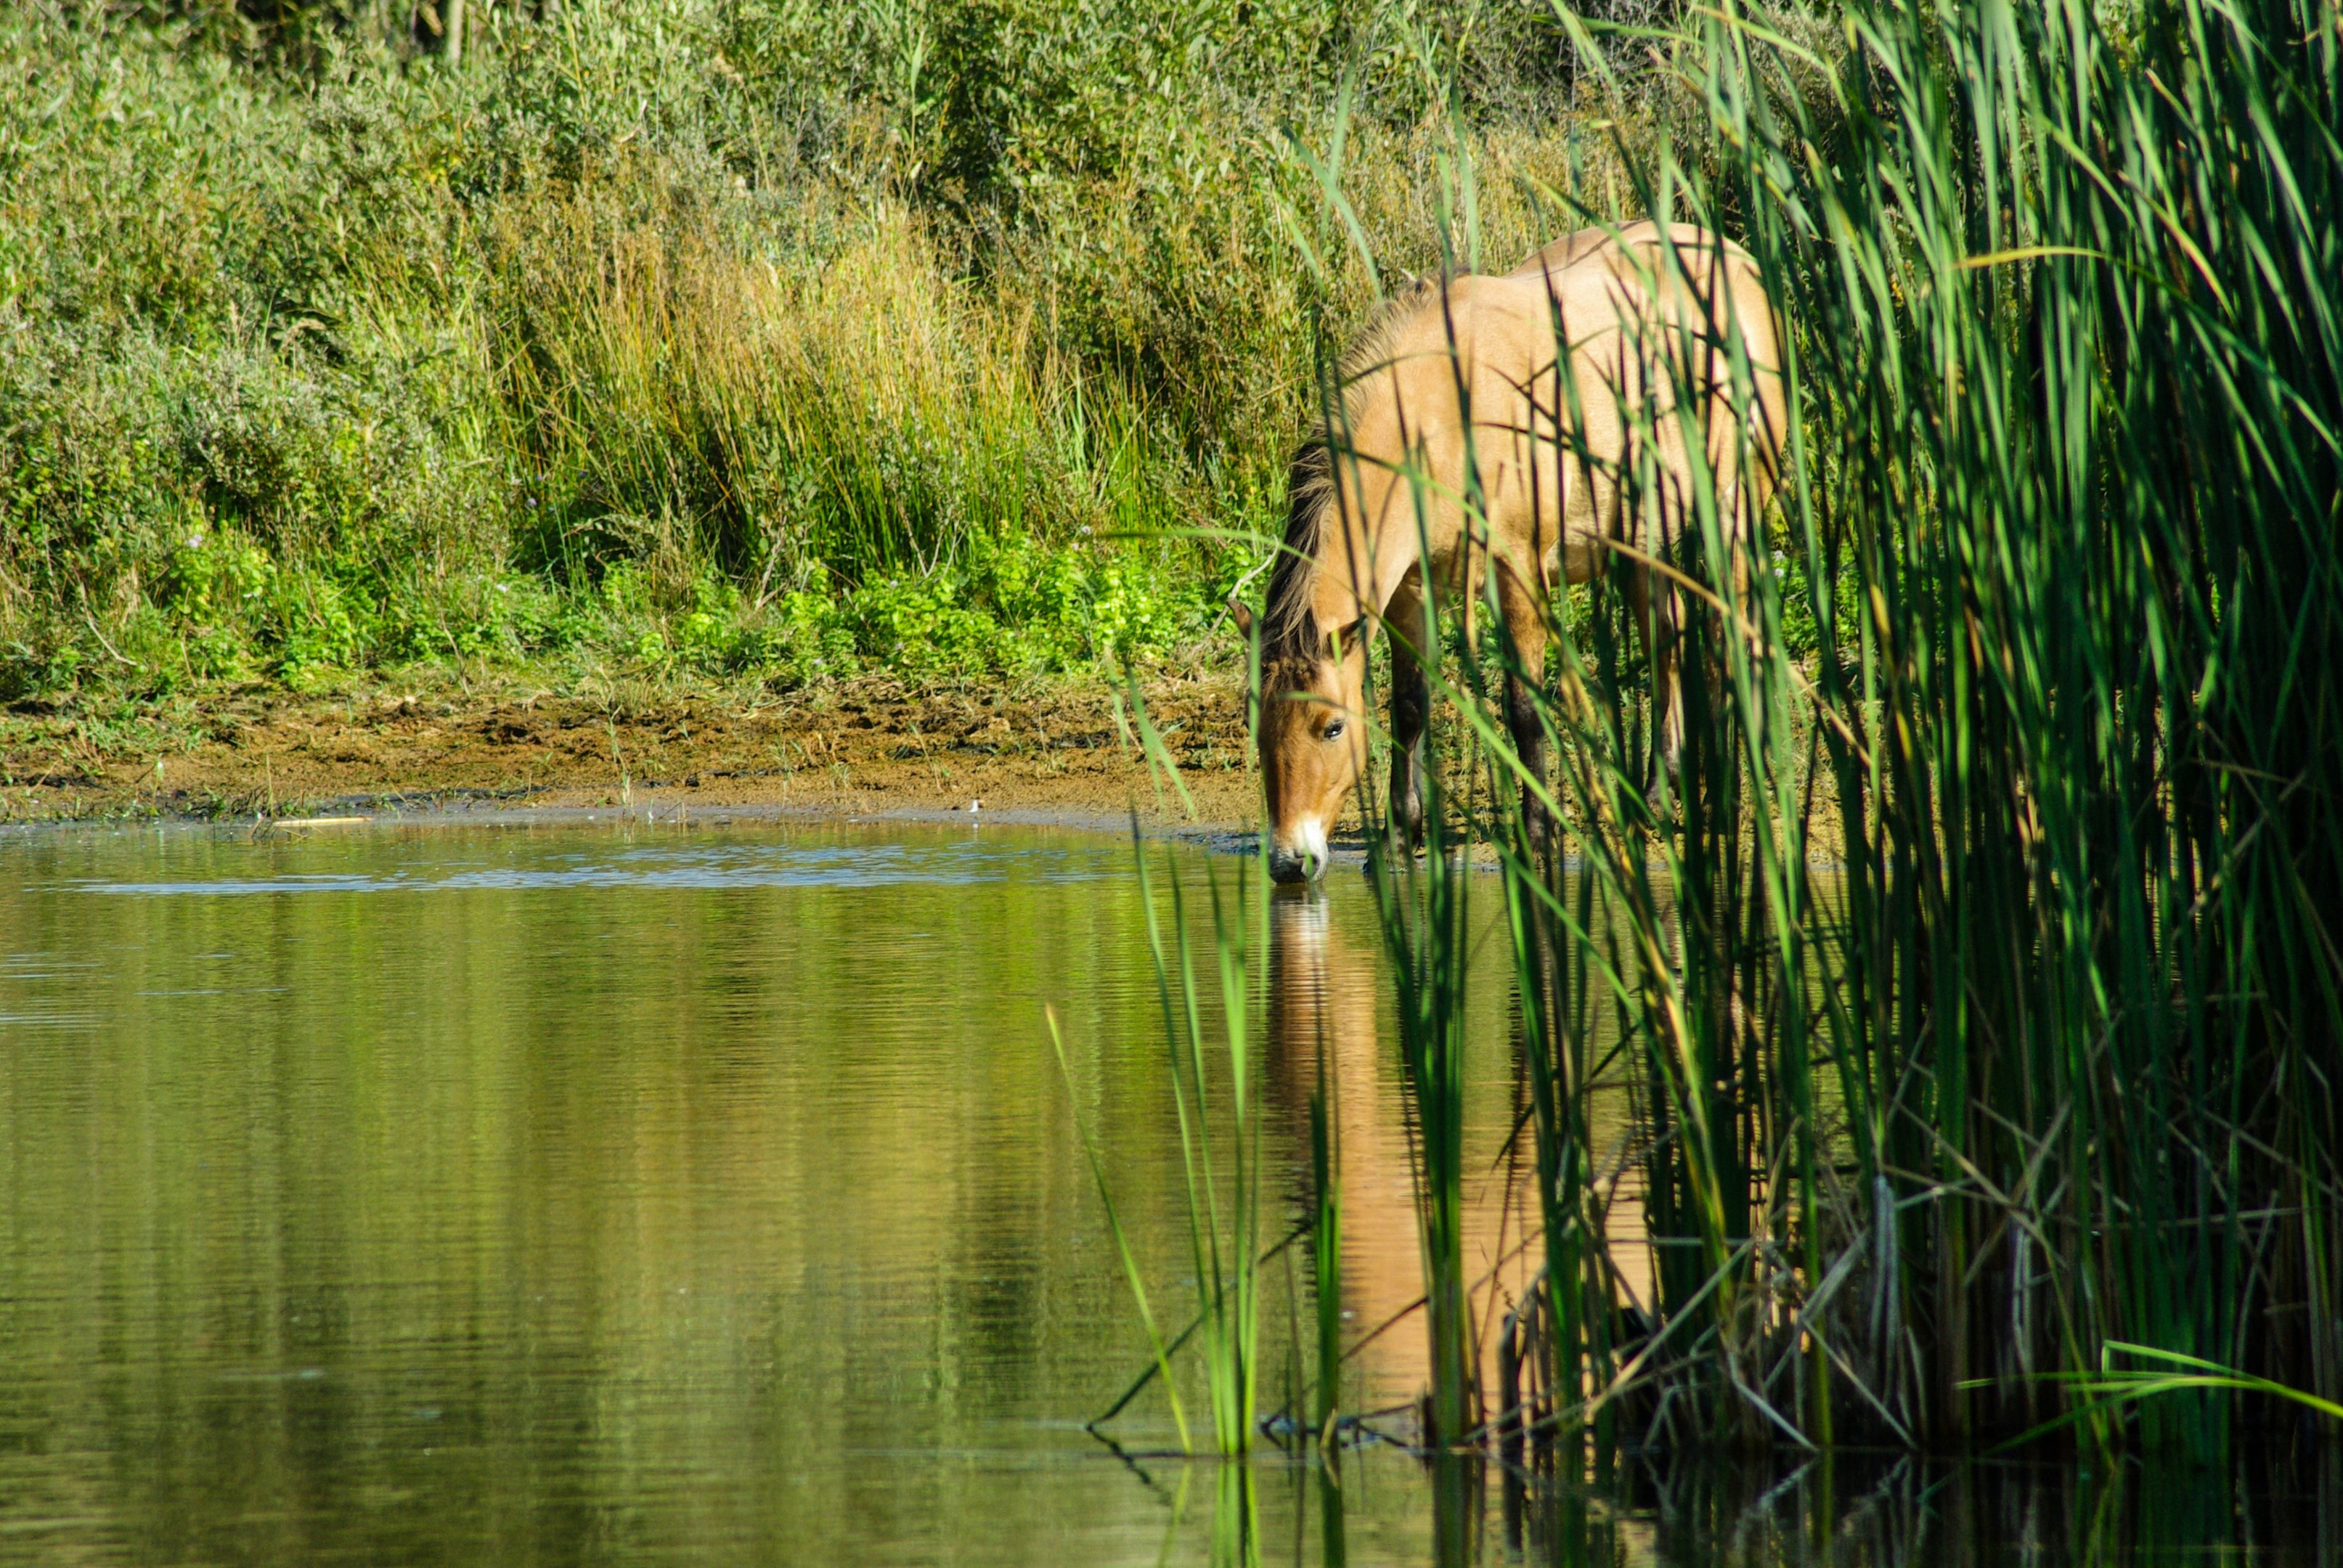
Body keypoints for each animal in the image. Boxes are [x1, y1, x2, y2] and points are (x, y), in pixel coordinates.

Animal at [1227, 221, 1787, 884]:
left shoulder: (1517, 574)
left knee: (1737, 637)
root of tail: (1737, 260)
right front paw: (1396, 841)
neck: (1440, 412)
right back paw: (1654, 797)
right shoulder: (1408, 593)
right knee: (1666, 644)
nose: (1289, 862)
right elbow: (1409, 708)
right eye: (1254, 723)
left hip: (1732, 516)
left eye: (1331, 727)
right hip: (1637, 545)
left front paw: (1539, 836)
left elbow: (1522, 708)